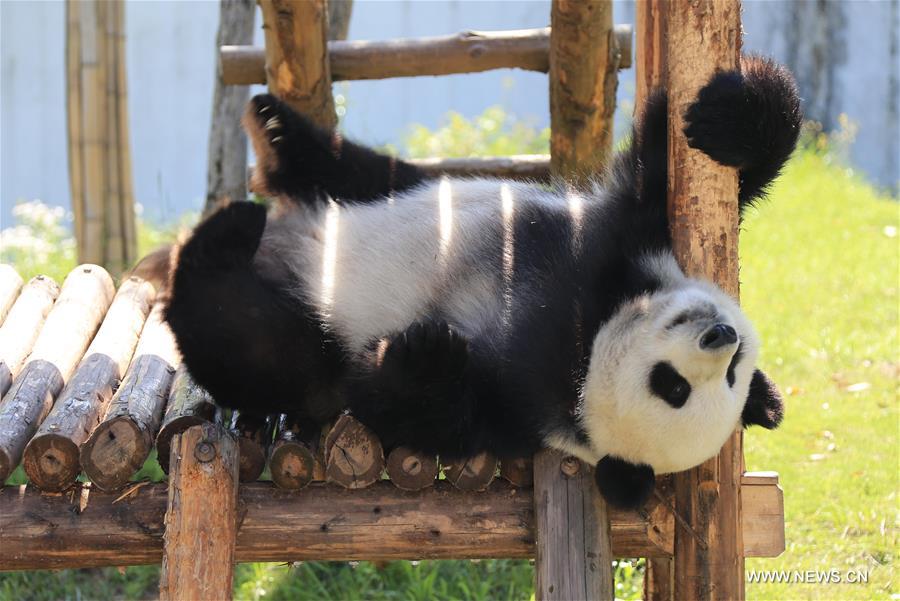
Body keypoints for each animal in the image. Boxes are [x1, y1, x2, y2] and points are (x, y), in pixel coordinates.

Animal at [158, 55, 800, 506]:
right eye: (675, 384)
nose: (722, 336)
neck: (586, 349)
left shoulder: (517, 409)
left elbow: (401, 406)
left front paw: (423, 356)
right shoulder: (617, 244)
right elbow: (664, 174)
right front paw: (731, 121)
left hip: (301, 335)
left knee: (253, 341)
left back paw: (220, 243)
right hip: (391, 190)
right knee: (355, 168)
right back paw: (275, 134)